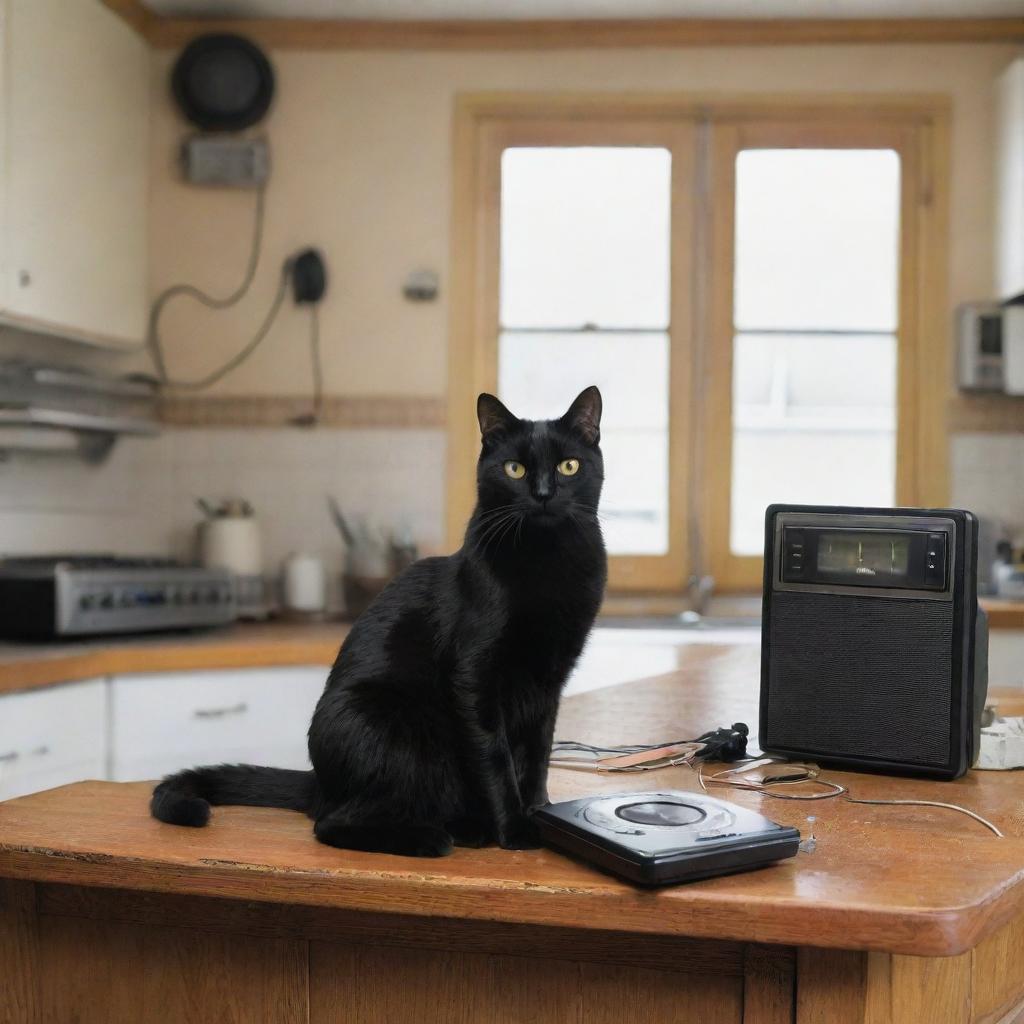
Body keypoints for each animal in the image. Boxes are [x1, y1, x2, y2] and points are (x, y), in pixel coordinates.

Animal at [151, 387, 606, 851]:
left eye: (568, 466)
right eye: (515, 469)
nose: (544, 493)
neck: (548, 564)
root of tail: (320, 784)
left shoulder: (549, 682)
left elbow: (538, 754)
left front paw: (540, 811)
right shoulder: (475, 676)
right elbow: (495, 758)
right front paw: (515, 828)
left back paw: (464, 827)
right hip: (398, 728)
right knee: (332, 825)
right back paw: (435, 839)